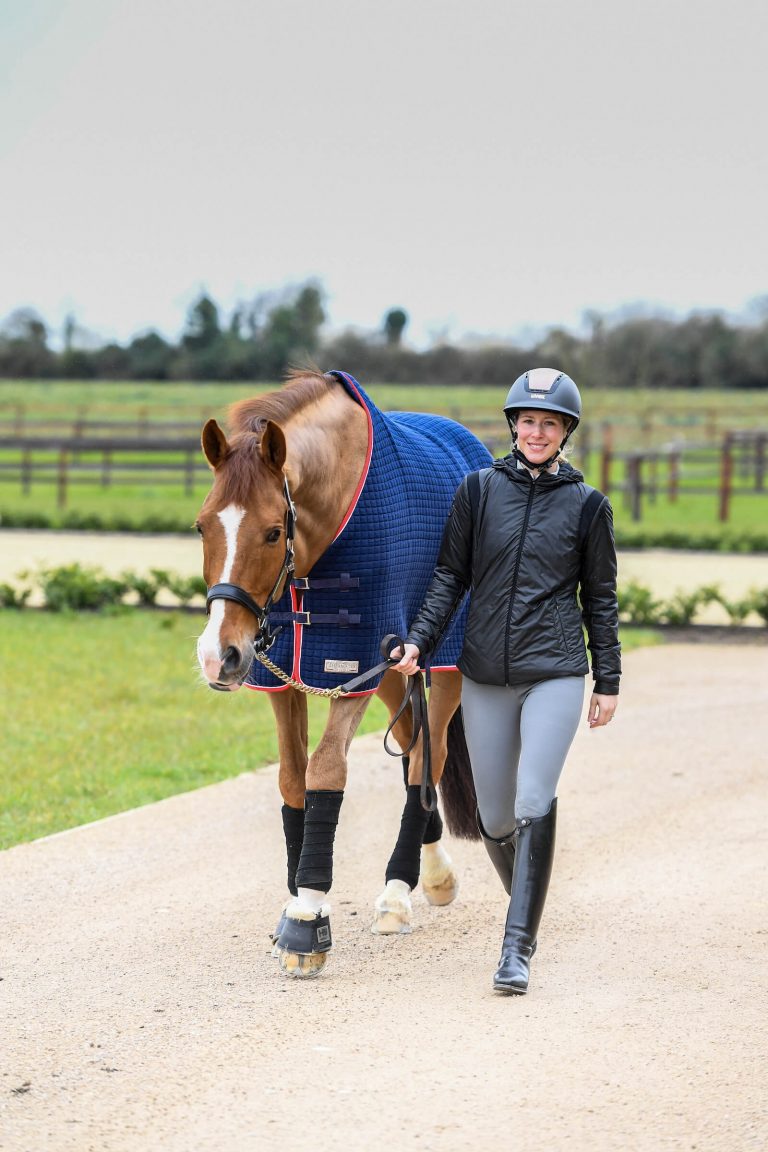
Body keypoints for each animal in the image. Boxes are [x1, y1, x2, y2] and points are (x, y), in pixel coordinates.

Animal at [195, 370, 490, 981]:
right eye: (202, 526)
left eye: (272, 531)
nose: (219, 656)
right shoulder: (287, 676)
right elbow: (292, 780)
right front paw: (295, 898)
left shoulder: (350, 669)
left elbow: (325, 772)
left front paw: (307, 918)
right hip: (397, 668)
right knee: (413, 746)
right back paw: (427, 871)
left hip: (440, 662)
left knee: (429, 757)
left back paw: (402, 890)